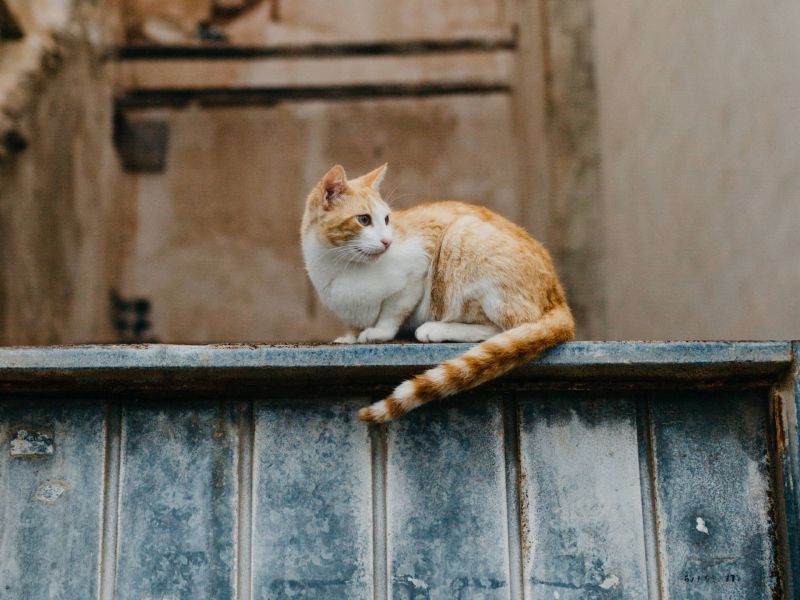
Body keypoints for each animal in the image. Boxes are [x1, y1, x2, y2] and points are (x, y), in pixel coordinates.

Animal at [302, 162, 576, 420]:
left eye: (387, 220)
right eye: (364, 220)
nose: (387, 242)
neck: (340, 265)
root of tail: (558, 294)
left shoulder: (416, 270)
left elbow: (392, 311)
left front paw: (378, 332)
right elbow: (356, 325)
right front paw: (350, 336)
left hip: (462, 236)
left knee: (511, 326)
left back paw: (437, 329)